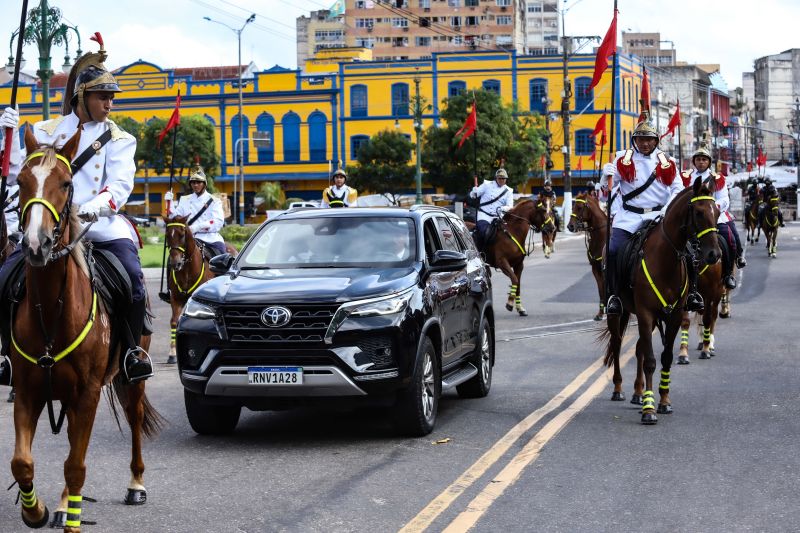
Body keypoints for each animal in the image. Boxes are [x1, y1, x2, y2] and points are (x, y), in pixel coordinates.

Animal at [10, 127, 162, 528]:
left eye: (66, 183)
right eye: (20, 181)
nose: (35, 244)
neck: (52, 311)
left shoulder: (89, 391)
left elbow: (76, 465)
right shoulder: (27, 389)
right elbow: (22, 462)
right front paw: (36, 510)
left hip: (130, 375)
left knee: (133, 417)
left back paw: (136, 484)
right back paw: (64, 504)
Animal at [164, 215, 236, 362]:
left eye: (182, 234)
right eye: (167, 235)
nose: (175, 263)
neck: (187, 270)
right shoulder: (176, 298)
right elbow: (174, 322)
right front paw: (172, 353)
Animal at [564, 191, 608, 320]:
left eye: (579, 207)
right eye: (573, 207)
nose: (570, 226)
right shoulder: (595, 269)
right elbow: (601, 290)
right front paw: (600, 313)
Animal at [600, 178, 720, 424]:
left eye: (718, 212)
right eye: (699, 212)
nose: (714, 254)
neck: (666, 260)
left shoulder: (673, 315)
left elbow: (665, 357)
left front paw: (663, 401)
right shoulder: (646, 313)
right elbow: (650, 361)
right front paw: (649, 409)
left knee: (638, 348)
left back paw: (637, 393)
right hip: (620, 312)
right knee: (617, 344)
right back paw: (619, 389)